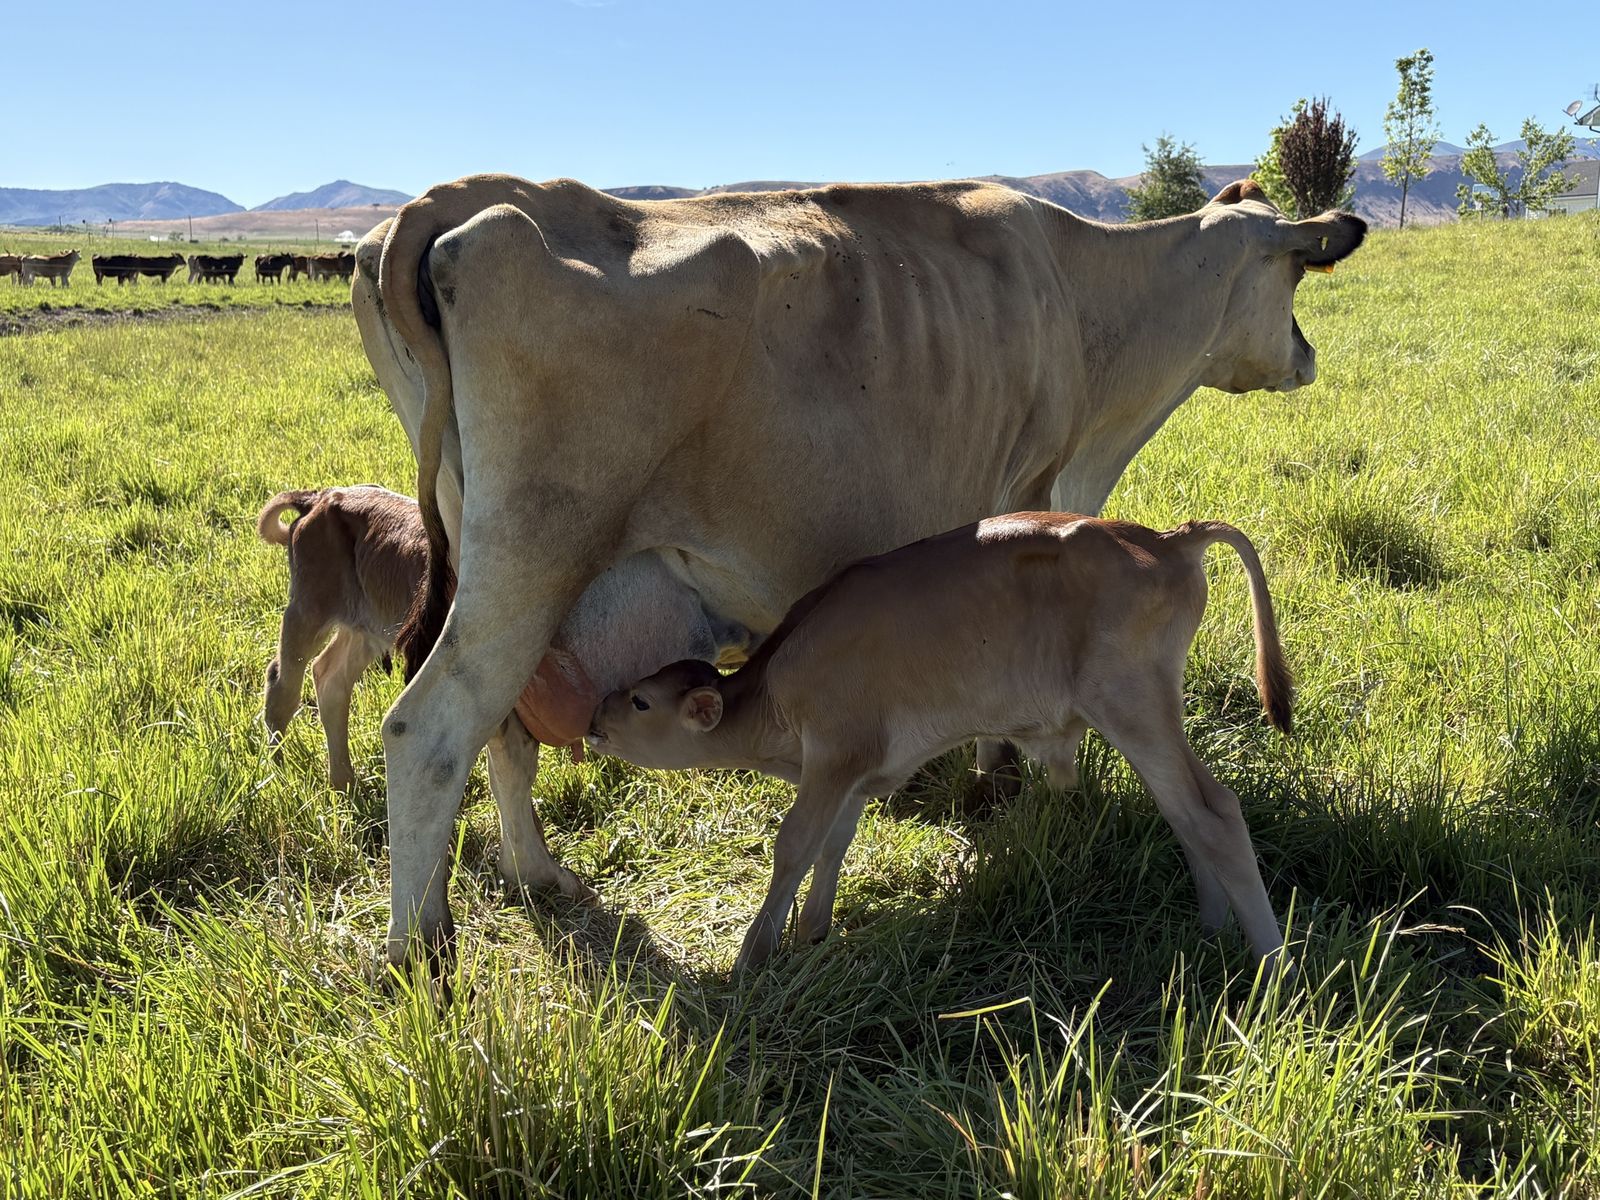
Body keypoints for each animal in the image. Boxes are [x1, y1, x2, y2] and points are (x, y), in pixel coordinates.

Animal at [588, 513, 1293, 971]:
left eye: (641, 700)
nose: (594, 715)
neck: (777, 690)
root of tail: (1167, 538)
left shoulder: (834, 755)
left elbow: (794, 847)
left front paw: (750, 959)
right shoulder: (856, 773)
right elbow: (833, 846)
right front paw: (814, 931)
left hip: (1133, 705)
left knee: (1211, 814)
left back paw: (1271, 962)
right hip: (1152, 715)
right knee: (1191, 810)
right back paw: (1212, 927)